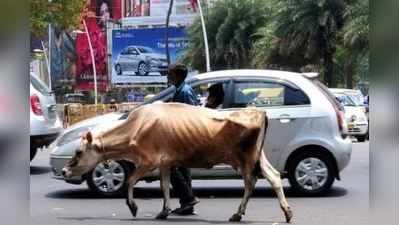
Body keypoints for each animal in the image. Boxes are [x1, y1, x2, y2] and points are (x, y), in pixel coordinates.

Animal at [63, 103, 294, 222]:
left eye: (79, 151)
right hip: (257, 157)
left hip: (245, 158)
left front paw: (133, 206)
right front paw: (164, 210)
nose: (65, 171)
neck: (136, 127)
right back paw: (287, 212)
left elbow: (130, 180)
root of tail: (258, 111)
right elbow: (165, 186)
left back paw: (238, 213)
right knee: (273, 176)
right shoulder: (165, 163)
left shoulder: (148, 161)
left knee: (250, 182)